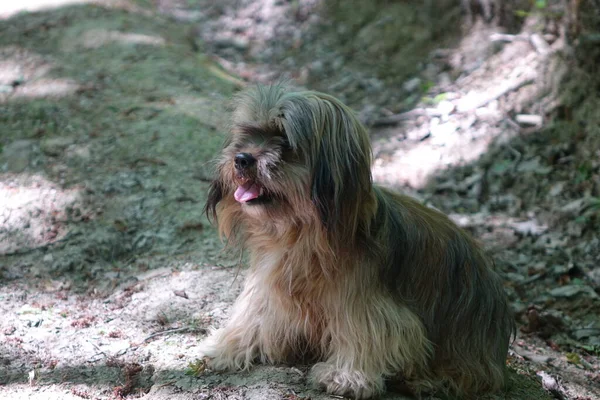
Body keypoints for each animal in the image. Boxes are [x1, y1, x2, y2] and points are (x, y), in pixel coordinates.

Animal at [202, 83, 516, 396]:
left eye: (284, 140)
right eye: (247, 133)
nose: (241, 159)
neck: (303, 232)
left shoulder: (365, 301)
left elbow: (365, 331)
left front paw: (346, 375)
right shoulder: (272, 287)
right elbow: (257, 315)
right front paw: (227, 345)